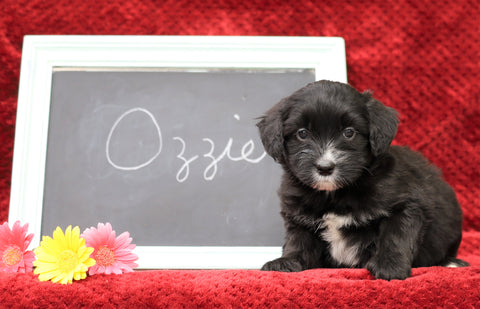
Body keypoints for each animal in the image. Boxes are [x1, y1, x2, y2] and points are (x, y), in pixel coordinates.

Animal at [256, 79, 466, 280]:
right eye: (302, 133)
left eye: (349, 132)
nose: (325, 167)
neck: (334, 194)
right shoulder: (298, 216)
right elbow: (298, 240)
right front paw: (287, 261)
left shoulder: (408, 205)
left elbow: (396, 234)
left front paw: (390, 266)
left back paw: (452, 263)